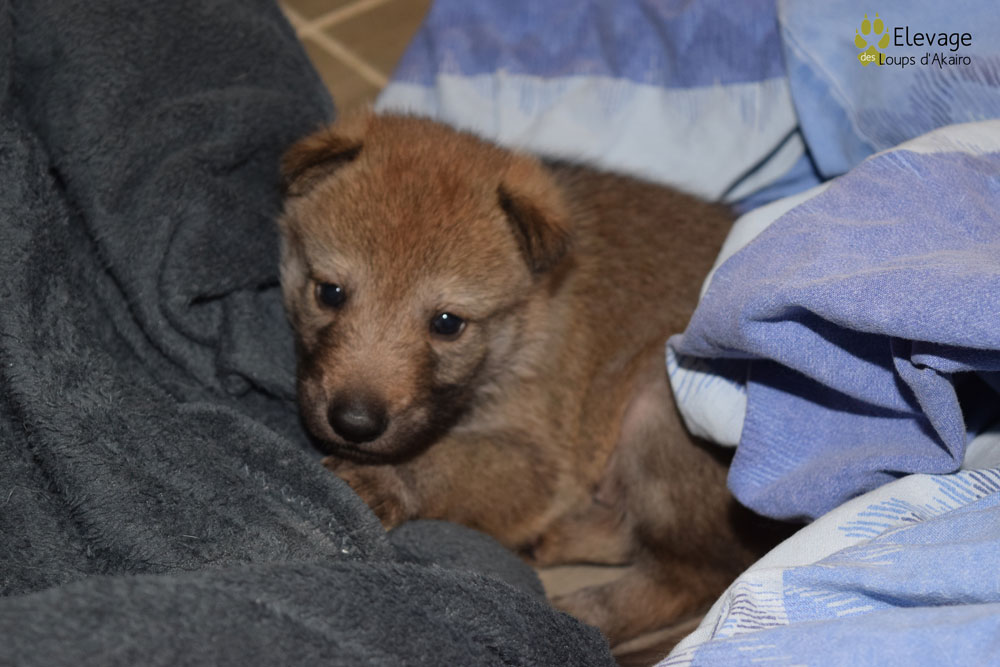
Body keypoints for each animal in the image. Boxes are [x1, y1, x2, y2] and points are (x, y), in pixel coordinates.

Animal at [277, 111, 788, 658]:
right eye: (329, 293)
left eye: (447, 323)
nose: (354, 424)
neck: (529, 320)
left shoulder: (537, 460)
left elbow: (447, 462)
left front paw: (381, 480)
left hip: (660, 405)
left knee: (693, 575)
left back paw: (579, 617)